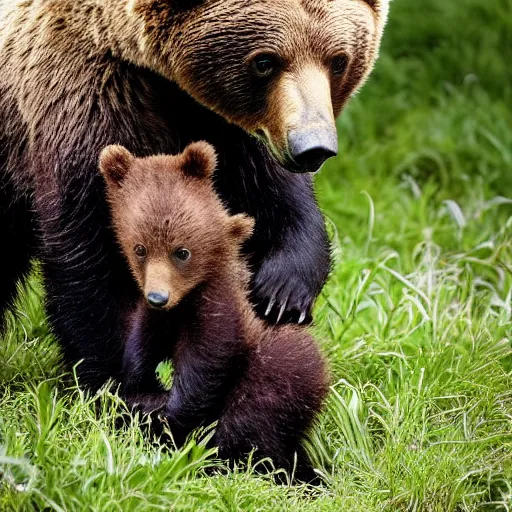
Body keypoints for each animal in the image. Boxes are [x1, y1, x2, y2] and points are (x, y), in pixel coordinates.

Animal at [0, 1, 388, 392]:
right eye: (265, 62)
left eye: (338, 60)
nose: (313, 147)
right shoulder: (88, 101)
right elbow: (97, 251)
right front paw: (118, 380)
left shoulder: (223, 128)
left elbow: (274, 206)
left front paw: (279, 297)